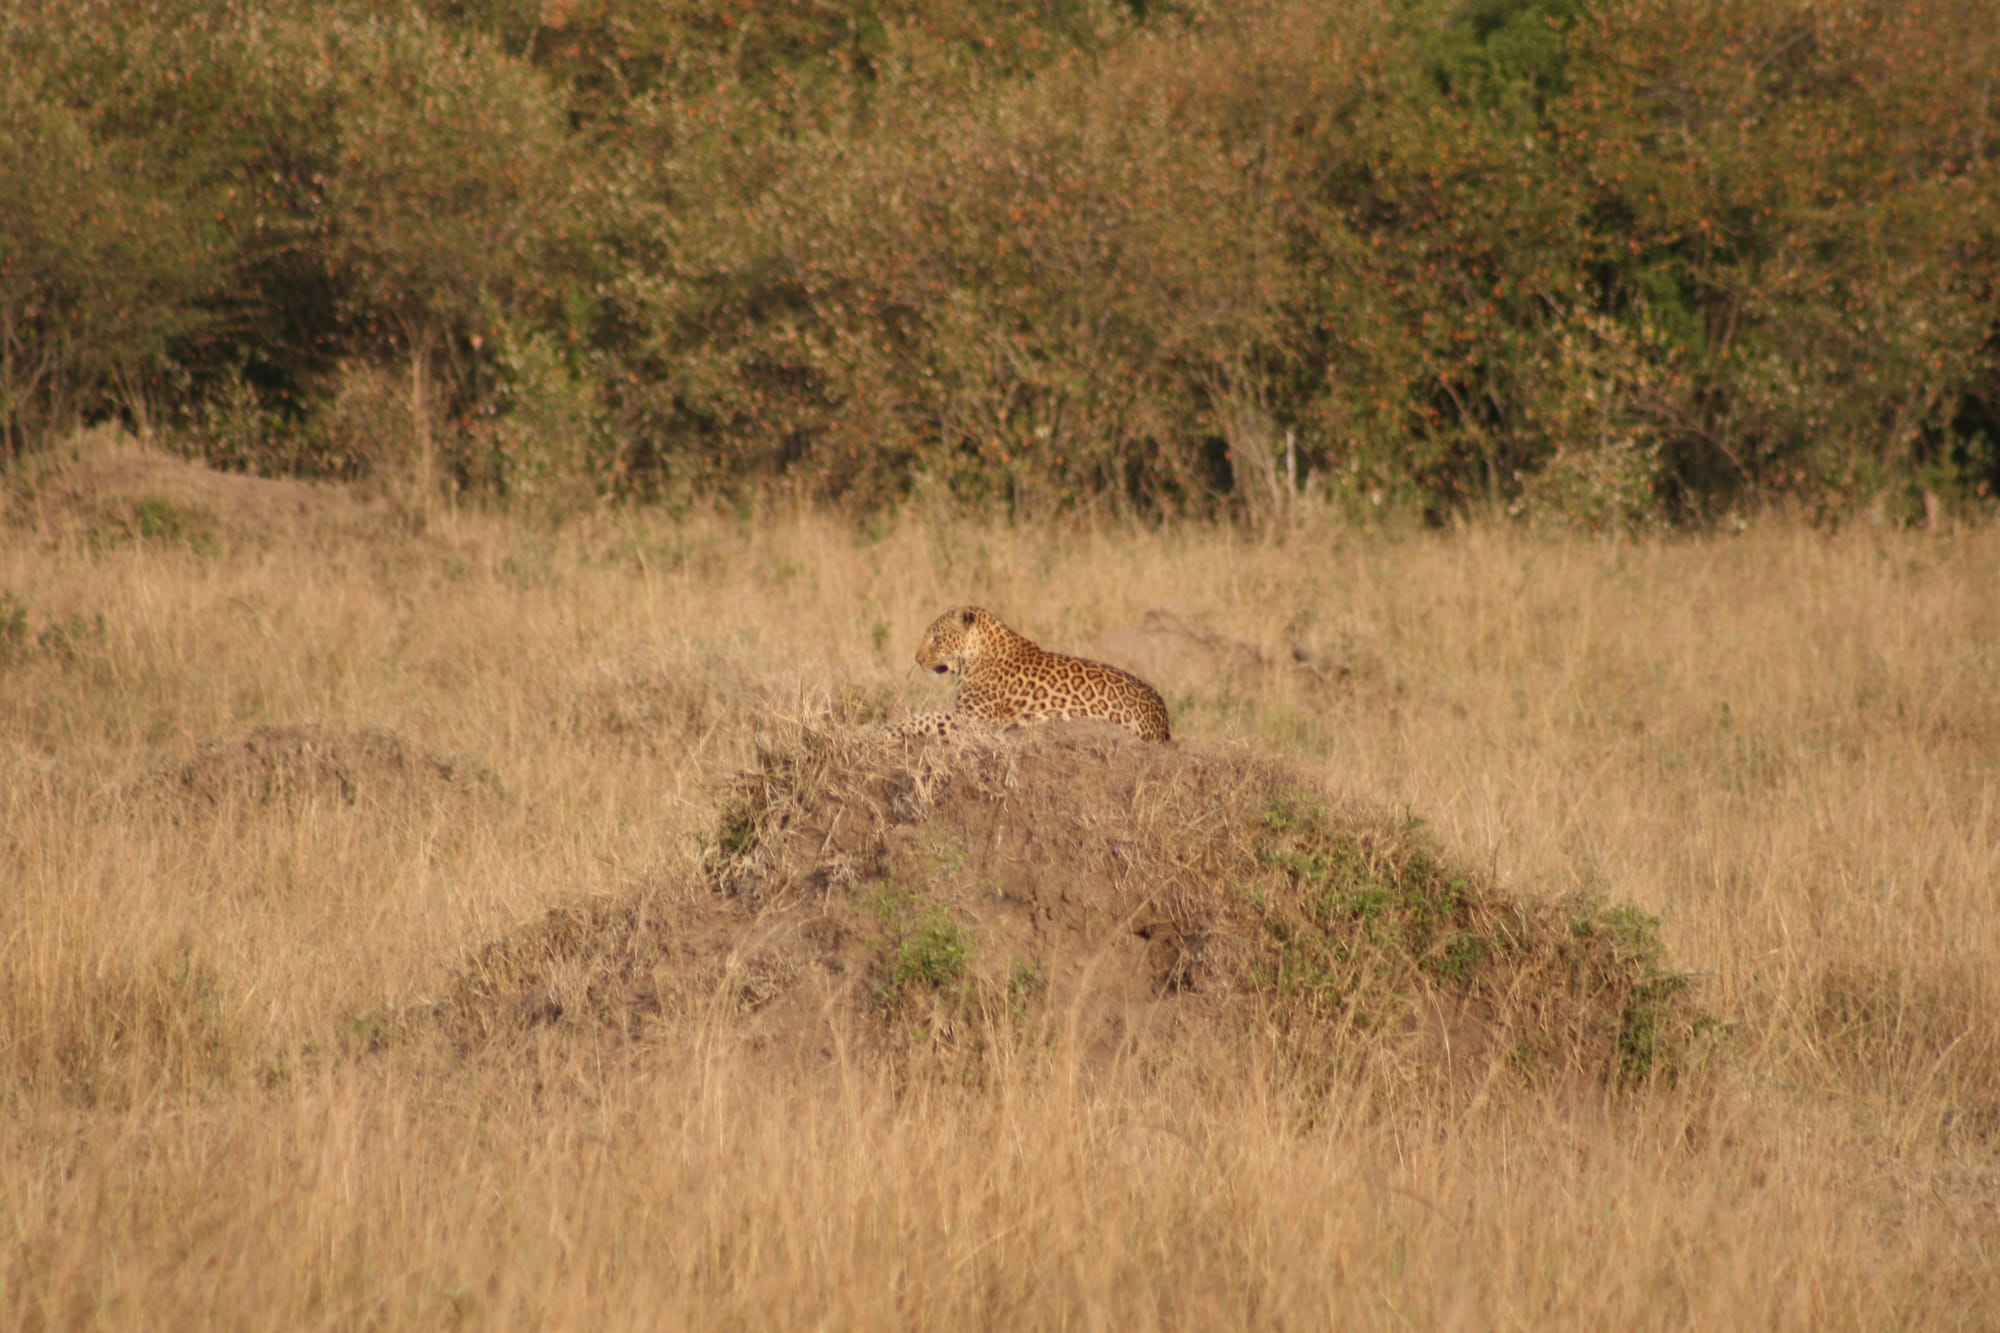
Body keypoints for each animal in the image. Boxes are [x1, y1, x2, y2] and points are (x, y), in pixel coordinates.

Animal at [891, 606, 1172, 743]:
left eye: (937, 639)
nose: (917, 659)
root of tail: (1164, 719)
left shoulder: (976, 720)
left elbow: (927, 717)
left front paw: (890, 727)